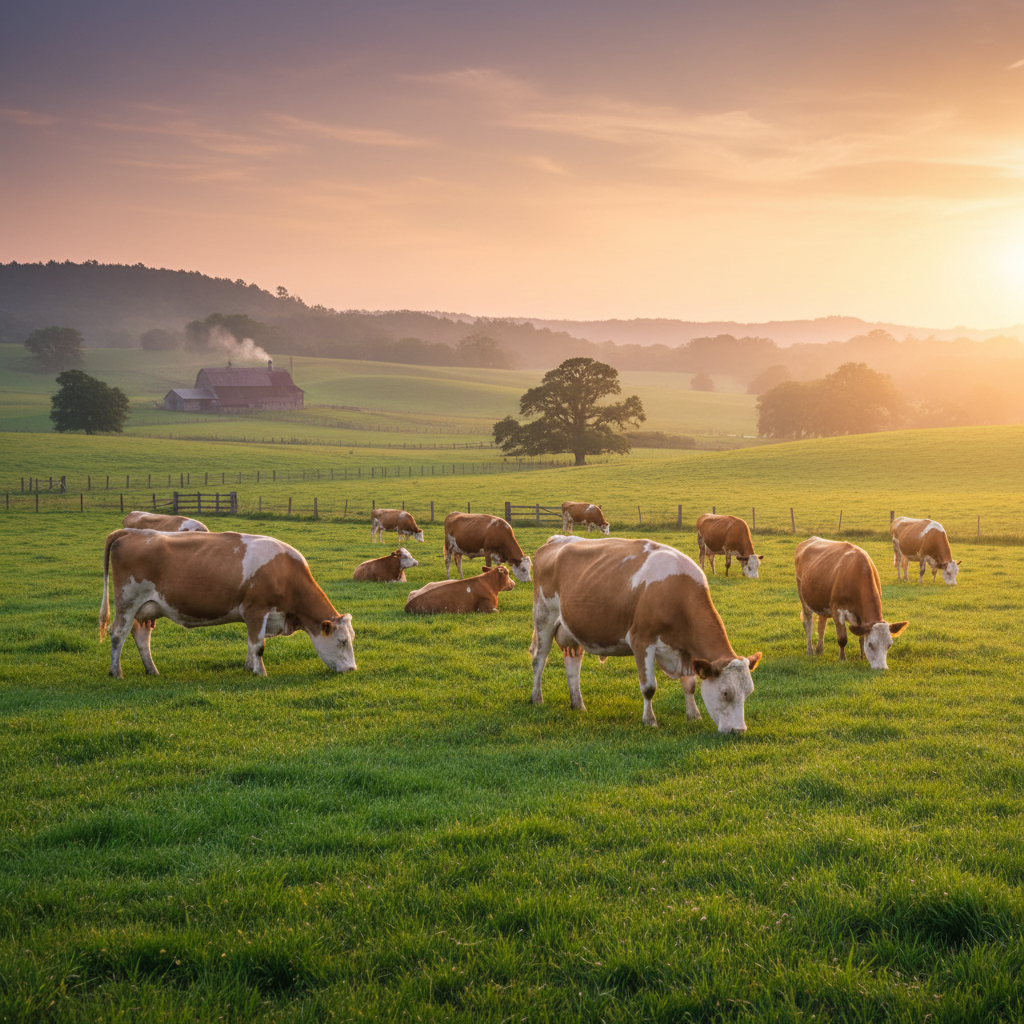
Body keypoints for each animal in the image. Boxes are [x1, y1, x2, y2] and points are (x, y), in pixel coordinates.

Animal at [99, 529, 356, 678]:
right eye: (342, 641)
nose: (352, 669)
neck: (284, 572)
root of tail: (130, 533)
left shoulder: (259, 617)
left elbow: (252, 643)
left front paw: (249, 668)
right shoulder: (256, 610)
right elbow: (258, 645)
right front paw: (261, 673)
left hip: (146, 608)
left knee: (142, 637)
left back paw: (152, 670)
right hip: (127, 601)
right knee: (118, 634)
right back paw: (116, 672)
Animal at [529, 536, 761, 732]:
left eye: (749, 692)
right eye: (725, 693)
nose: (739, 730)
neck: (678, 591)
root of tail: (556, 540)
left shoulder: (685, 651)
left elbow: (690, 685)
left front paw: (693, 715)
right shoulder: (641, 641)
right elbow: (649, 687)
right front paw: (649, 720)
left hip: (572, 629)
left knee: (573, 664)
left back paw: (578, 704)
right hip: (543, 618)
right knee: (539, 659)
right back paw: (536, 698)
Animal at [794, 536, 908, 670]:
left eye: (889, 645)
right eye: (871, 645)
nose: (882, 669)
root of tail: (811, 539)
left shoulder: (861, 618)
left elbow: (861, 638)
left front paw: (862, 657)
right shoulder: (837, 609)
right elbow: (842, 638)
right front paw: (842, 659)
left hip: (821, 601)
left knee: (821, 625)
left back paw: (820, 651)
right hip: (803, 596)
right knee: (808, 623)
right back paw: (810, 651)